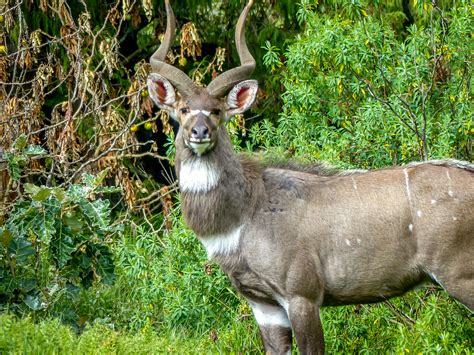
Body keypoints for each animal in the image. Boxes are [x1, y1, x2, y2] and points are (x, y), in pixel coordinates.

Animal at [146, 1, 472, 354]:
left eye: (217, 111)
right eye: (182, 109)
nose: (199, 132)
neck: (246, 212)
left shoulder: (302, 294)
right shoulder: (264, 306)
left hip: (459, 274)